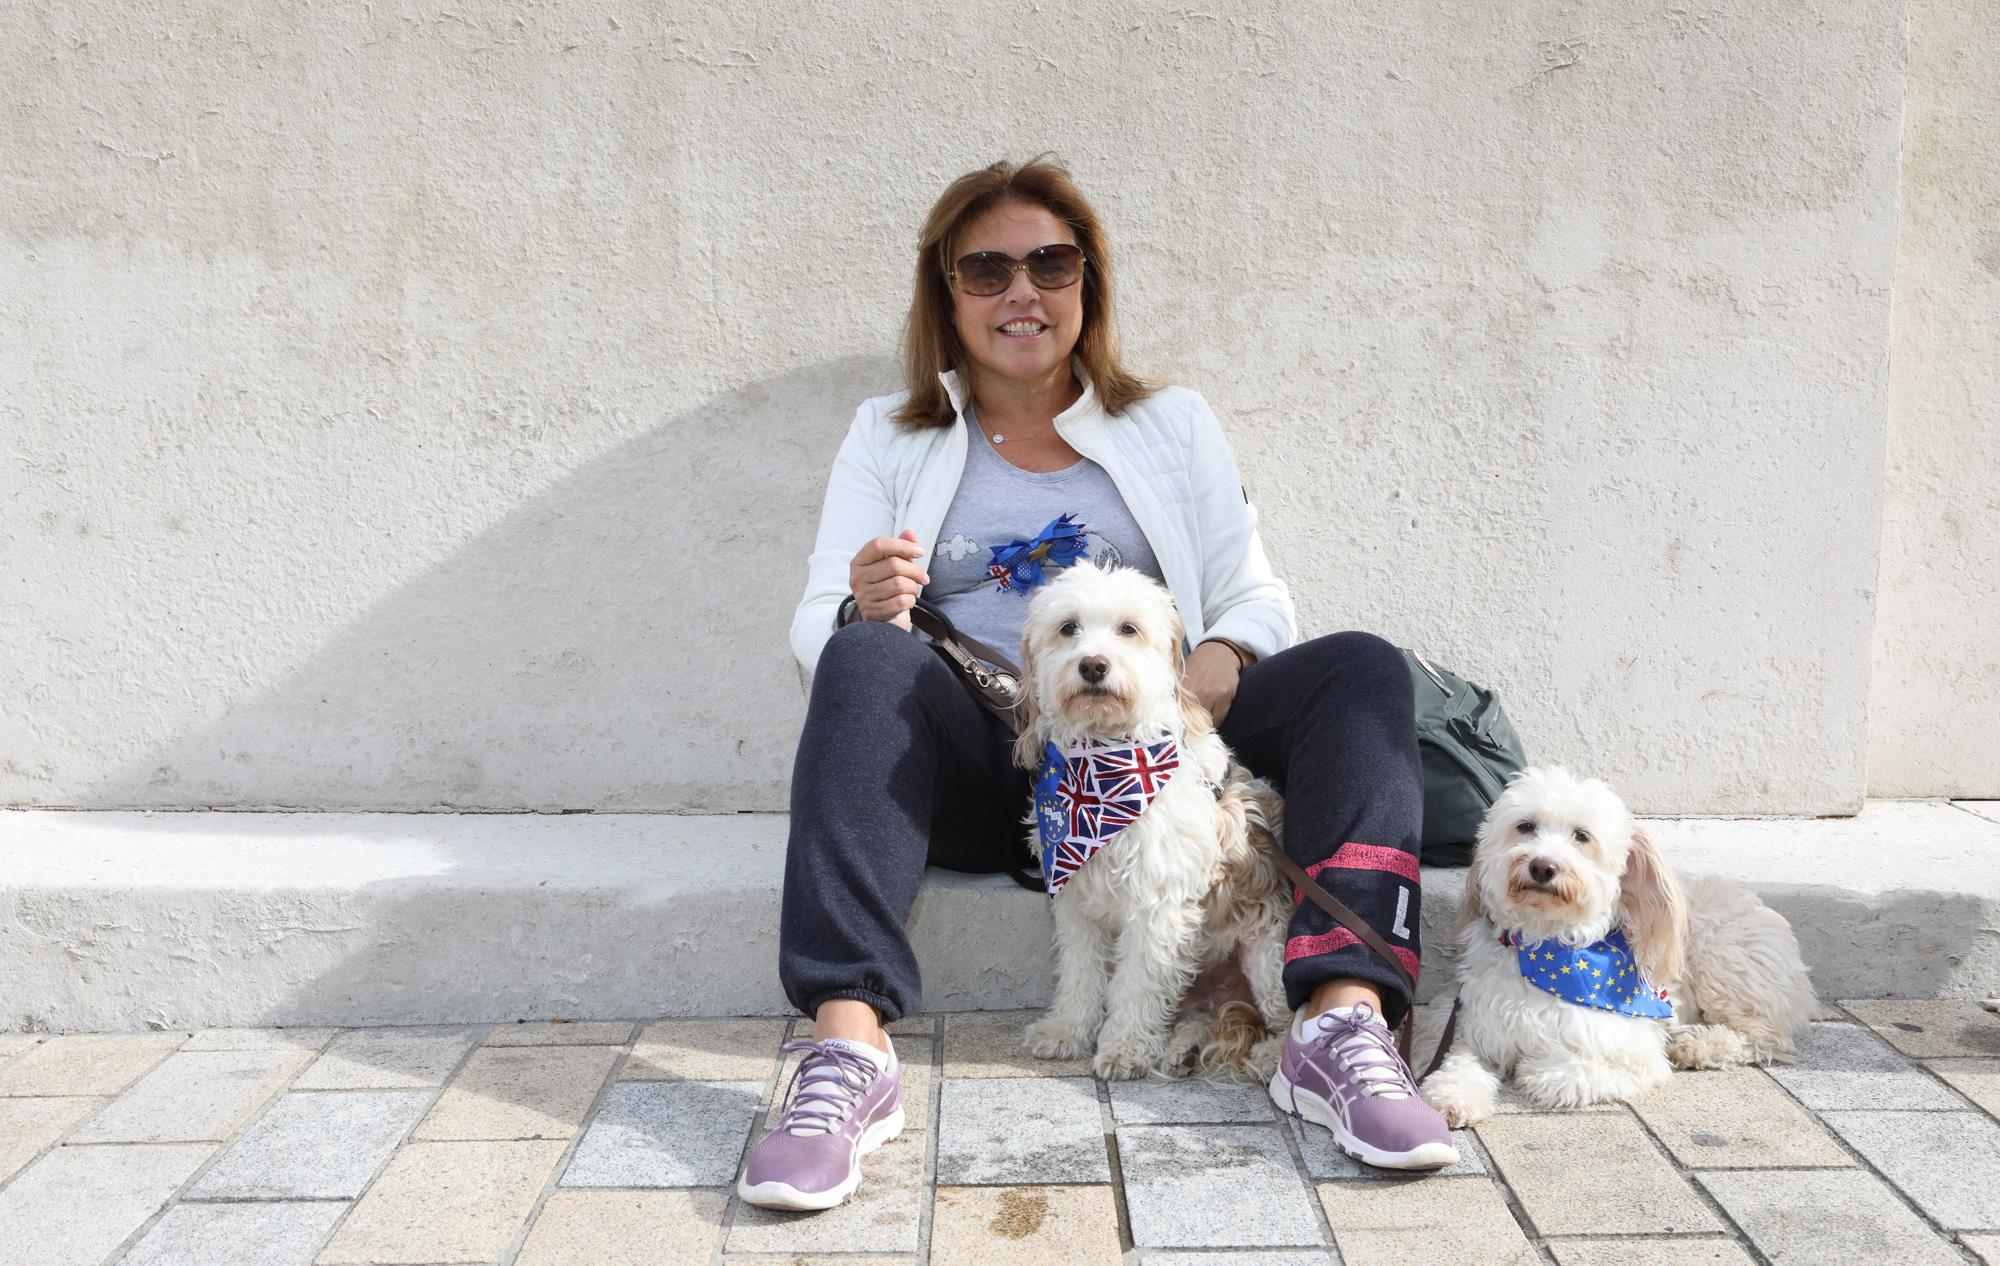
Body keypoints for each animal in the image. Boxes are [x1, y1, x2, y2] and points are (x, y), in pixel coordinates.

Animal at [1016, 564, 1296, 1080]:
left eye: (1128, 629)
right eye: (1068, 627)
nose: (1094, 665)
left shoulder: (1157, 906)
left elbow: (1138, 984)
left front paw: (1124, 1047)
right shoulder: (1075, 902)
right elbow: (1081, 974)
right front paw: (1068, 1030)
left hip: (1269, 955)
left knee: (1283, 1018)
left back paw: (1270, 1056)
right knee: (1208, 1020)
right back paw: (1181, 1047)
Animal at [1416, 764, 1824, 1120]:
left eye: (1582, 836)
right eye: (1525, 826)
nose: (1542, 866)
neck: (1543, 947)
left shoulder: (1631, 1050)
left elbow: (1566, 1072)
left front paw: (1537, 1068)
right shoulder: (1461, 1025)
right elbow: (1457, 1062)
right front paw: (1453, 1098)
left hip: (1725, 968)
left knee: (1768, 1037)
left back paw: (1698, 1045)